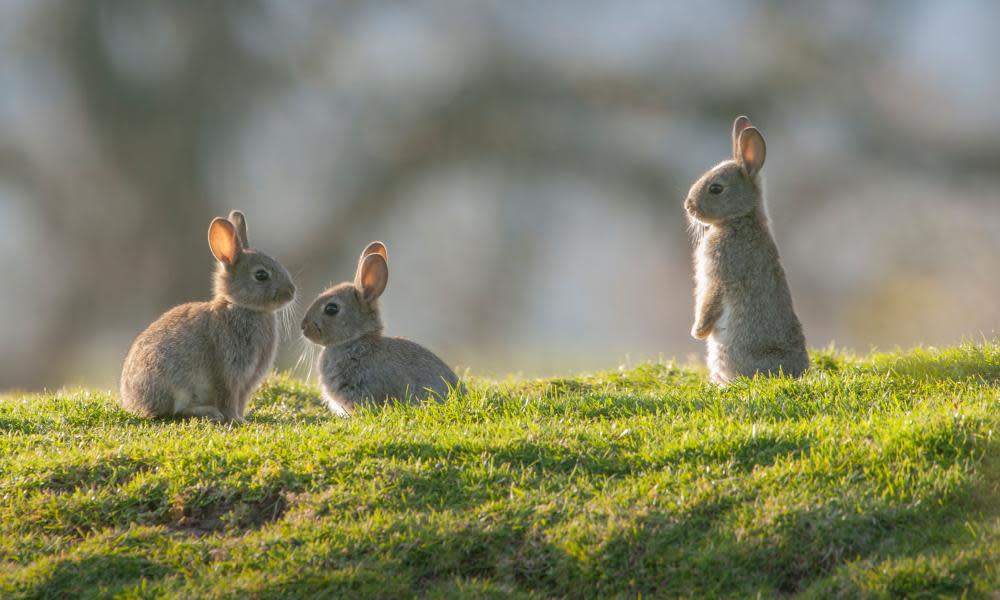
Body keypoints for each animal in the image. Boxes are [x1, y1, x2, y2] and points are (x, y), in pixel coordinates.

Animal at [119, 211, 294, 422]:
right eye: (261, 275)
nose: (292, 292)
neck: (241, 306)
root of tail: (130, 400)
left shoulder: (247, 381)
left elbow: (240, 400)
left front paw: (241, 418)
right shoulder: (228, 372)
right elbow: (228, 397)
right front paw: (235, 420)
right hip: (171, 383)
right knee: (173, 412)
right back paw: (209, 413)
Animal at [684, 115, 808, 382]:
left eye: (716, 188)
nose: (688, 206)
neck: (741, 218)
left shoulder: (719, 274)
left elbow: (708, 302)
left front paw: (697, 332)